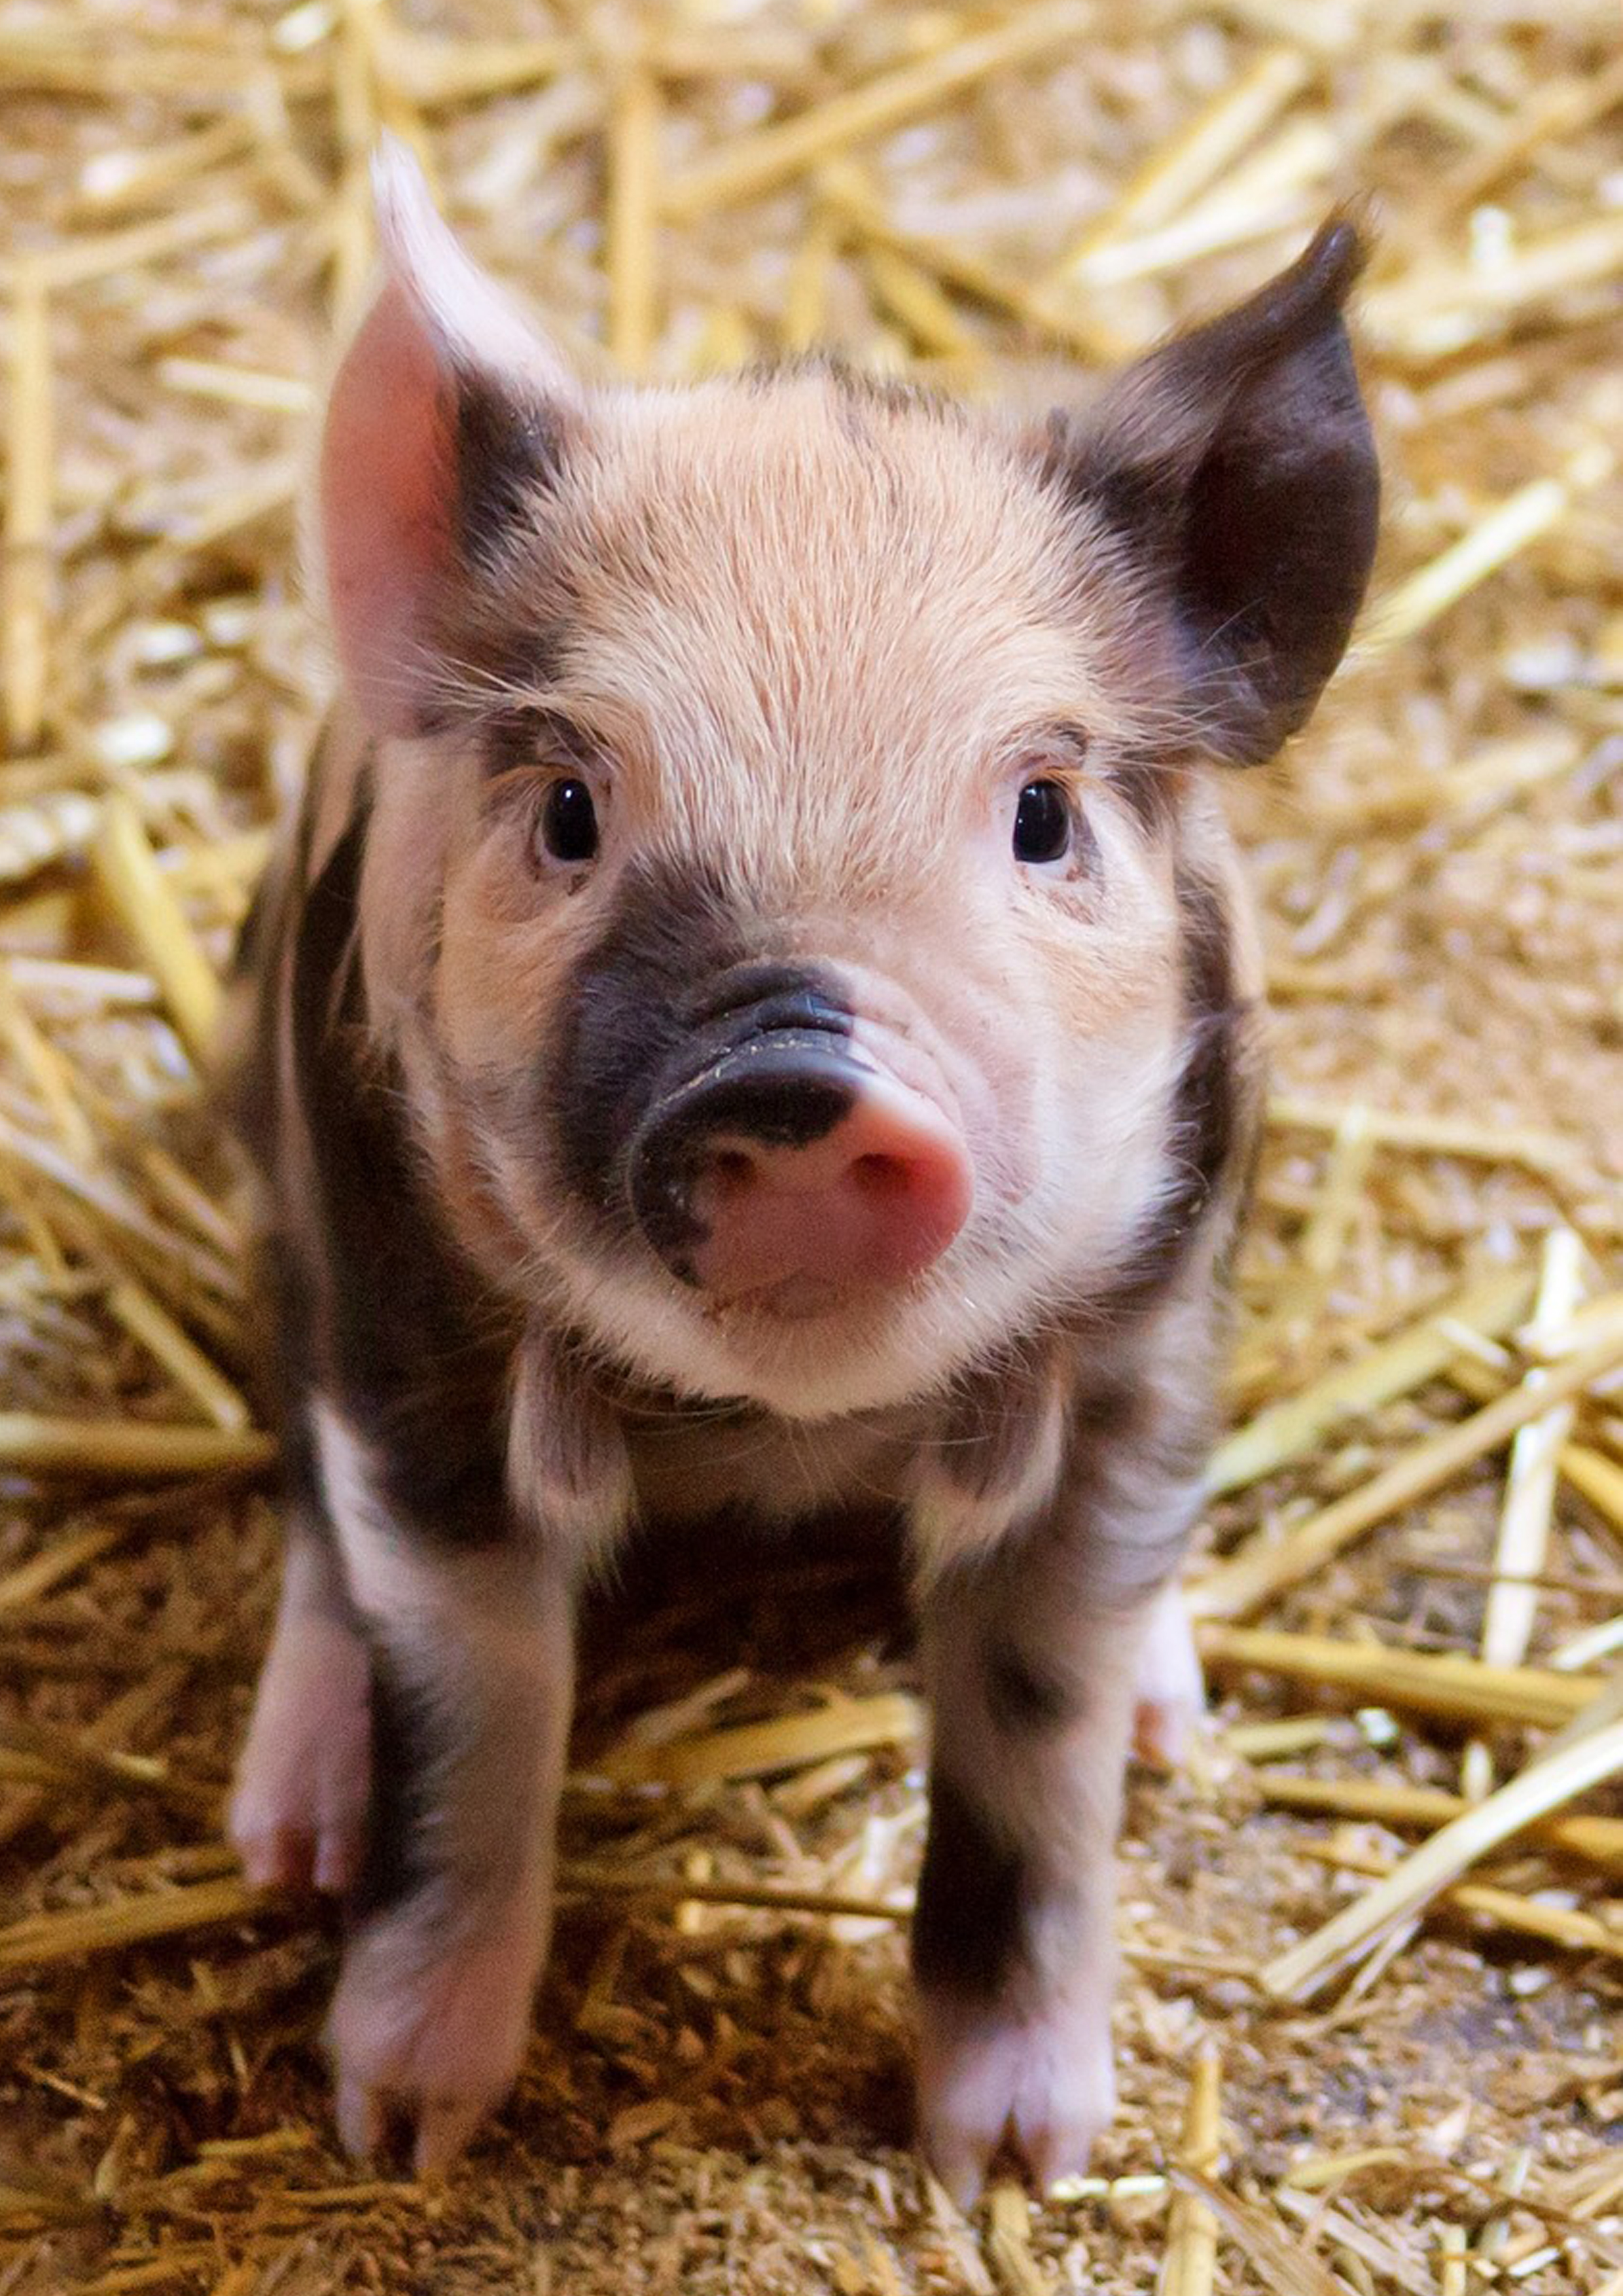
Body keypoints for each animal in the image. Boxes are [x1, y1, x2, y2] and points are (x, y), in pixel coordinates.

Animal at [226, 140, 1378, 2198]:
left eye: (1042, 814)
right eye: (571, 809)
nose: (792, 1075)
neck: (782, 1433)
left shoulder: (1148, 1342)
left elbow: (1040, 1735)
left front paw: (1015, 2164)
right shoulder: (403, 1323)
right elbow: (475, 1706)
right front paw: (401, 2125)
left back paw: (1179, 1726)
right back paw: (287, 1835)